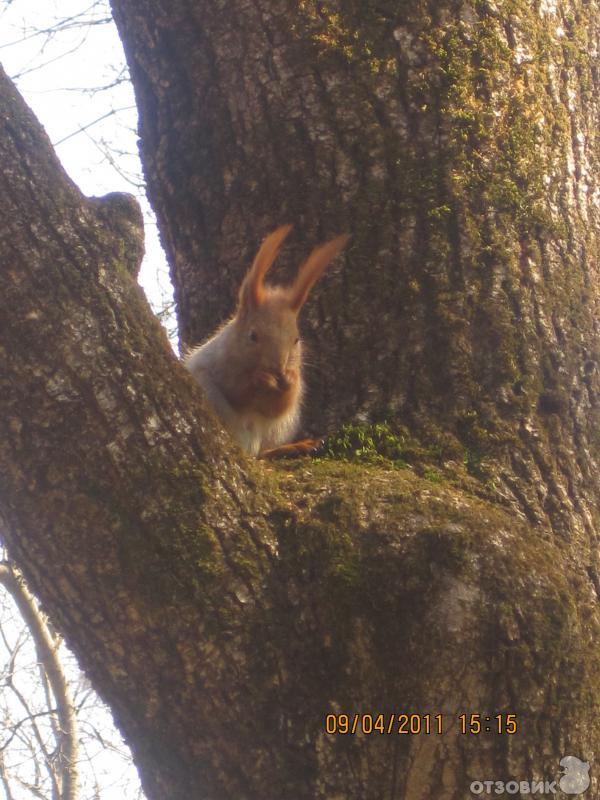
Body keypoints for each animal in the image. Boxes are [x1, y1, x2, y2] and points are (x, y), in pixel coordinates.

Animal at [185, 228, 350, 460]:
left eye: (296, 339)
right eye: (252, 336)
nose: (278, 370)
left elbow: (279, 407)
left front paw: (289, 380)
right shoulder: (219, 363)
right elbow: (236, 391)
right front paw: (260, 380)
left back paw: (292, 447)